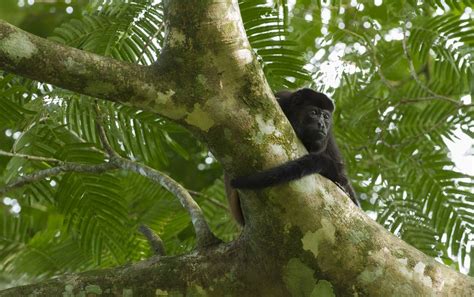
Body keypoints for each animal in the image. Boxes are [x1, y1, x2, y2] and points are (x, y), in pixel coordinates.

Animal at [226, 88, 360, 224]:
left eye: (326, 117)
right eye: (313, 112)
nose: (322, 124)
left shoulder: (328, 137)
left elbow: (340, 170)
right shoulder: (280, 101)